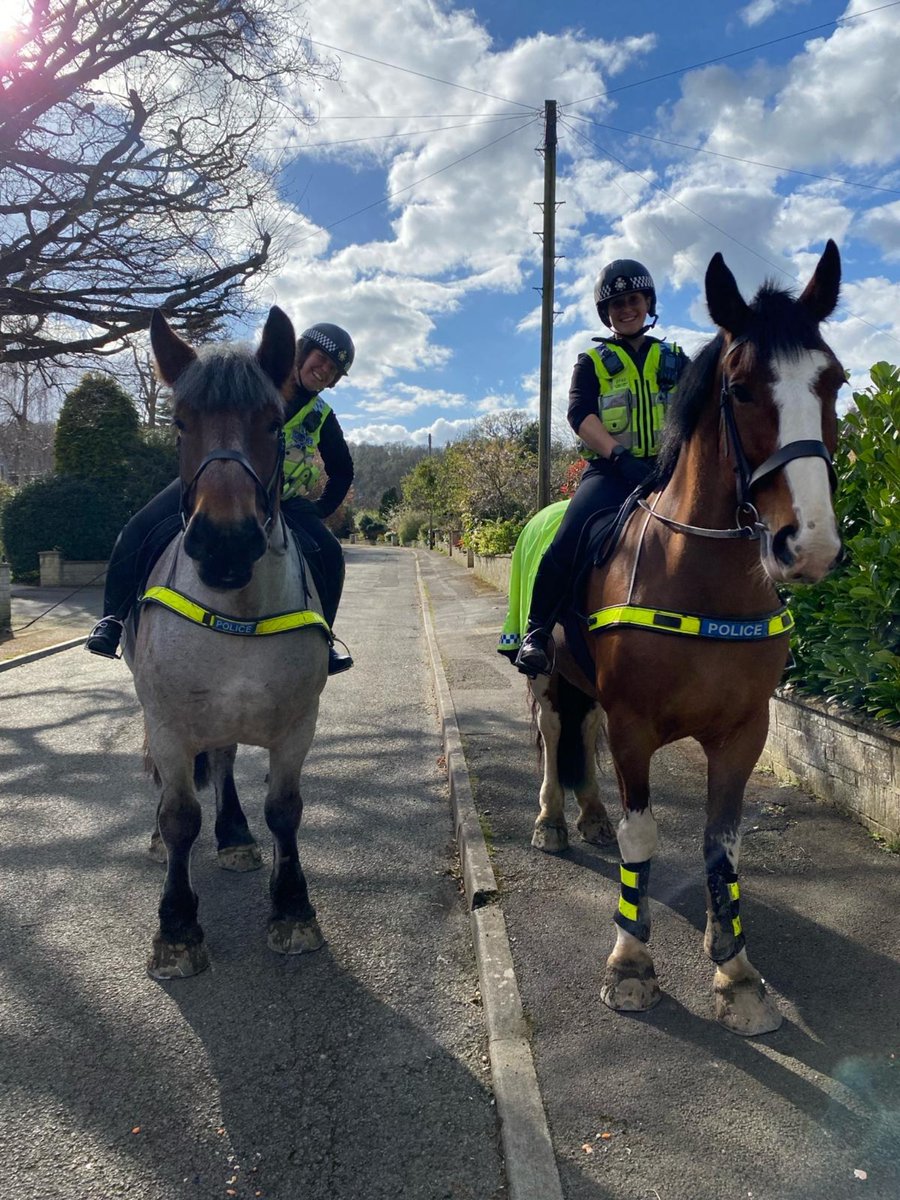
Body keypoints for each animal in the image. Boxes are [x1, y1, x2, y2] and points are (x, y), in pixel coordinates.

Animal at [130, 304, 331, 979]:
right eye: (179, 423)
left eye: (272, 423)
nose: (224, 542)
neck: (238, 610)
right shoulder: (168, 722)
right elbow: (178, 816)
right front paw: (176, 928)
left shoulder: (296, 725)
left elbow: (284, 810)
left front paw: (292, 909)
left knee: (219, 761)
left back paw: (236, 835)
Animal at [528, 241, 844, 1032]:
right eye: (740, 389)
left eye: (834, 382)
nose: (810, 546)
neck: (700, 574)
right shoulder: (637, 726)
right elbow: (645, 836)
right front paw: (630, 964)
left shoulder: (743, 730)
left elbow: (721, 846)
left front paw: (735, 970)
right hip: (545, 673)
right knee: (553, 732)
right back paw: (552, 820)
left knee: (582, 735)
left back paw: (590, 816)